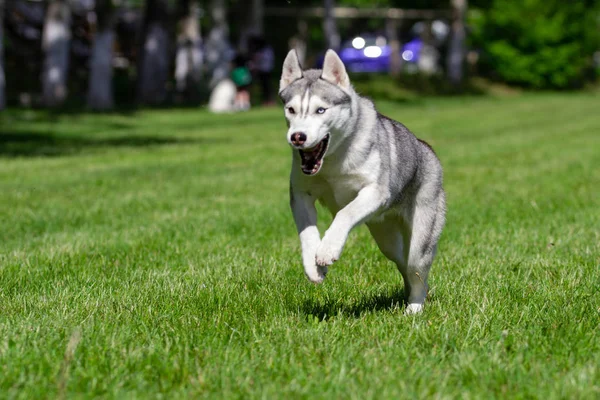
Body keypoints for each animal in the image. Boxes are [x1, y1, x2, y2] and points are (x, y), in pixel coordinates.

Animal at [278, 50, 442, 314]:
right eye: (291, 109)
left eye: (320, 110)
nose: (297, 137)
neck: (333, 159)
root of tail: (426, 148)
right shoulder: (300, 194)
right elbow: (307, 232)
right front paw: (314, 264)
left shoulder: (375, 192)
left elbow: (344, 213)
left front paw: (328, 249)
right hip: (387, 239)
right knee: (403, 263)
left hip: (420, 239)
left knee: (417, 270)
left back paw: (414, 307)